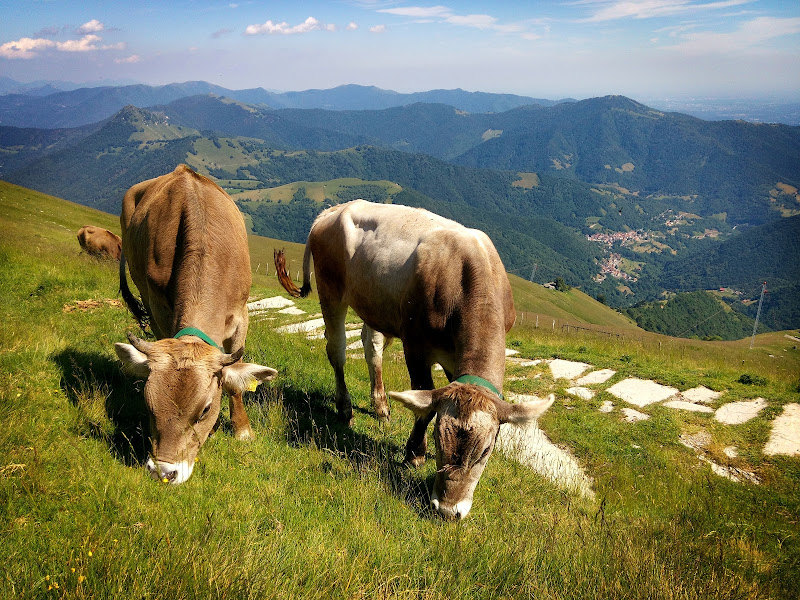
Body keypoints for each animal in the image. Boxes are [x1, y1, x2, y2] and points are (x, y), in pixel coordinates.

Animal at [114, 166, 278, 486]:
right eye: (149, 405)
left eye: (204, 410)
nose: (164, 473)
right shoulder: (158, 310)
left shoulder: (241, 315)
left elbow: (235, 381)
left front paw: (243, 431)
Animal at [276, 199, 552, 516]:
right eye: (439, 439)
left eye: (485, 451)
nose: (448, 510)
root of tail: (334, 209)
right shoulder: (416, 347)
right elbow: (425, 405)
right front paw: (415, 453)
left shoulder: (455, 362)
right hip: (330, 289)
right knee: (337, 351)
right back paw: (345, 409)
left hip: (373, 303)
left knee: (372, 348)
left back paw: (381, 407)